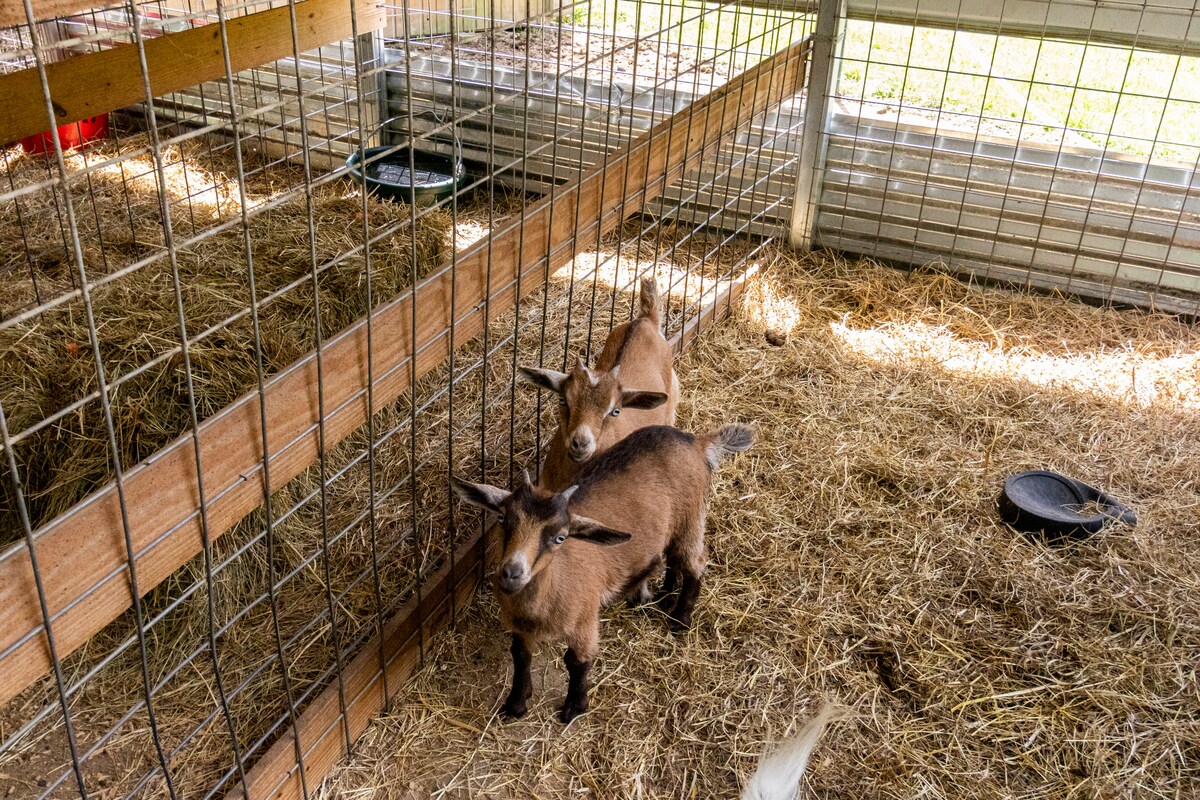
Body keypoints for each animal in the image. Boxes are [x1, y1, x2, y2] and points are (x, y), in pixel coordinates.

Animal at [449, 422, 753, 723]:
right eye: (502, 518)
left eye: (560, 537)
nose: (512, 573)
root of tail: (695, 441)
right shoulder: (519, 626)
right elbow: (521, 656)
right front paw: (515, 705)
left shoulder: (585, 619)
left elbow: (577, 662)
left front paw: (574, 707)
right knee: (671, 555)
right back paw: (666, 595)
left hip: (691, 518)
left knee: (694, 562)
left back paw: (680, 619)